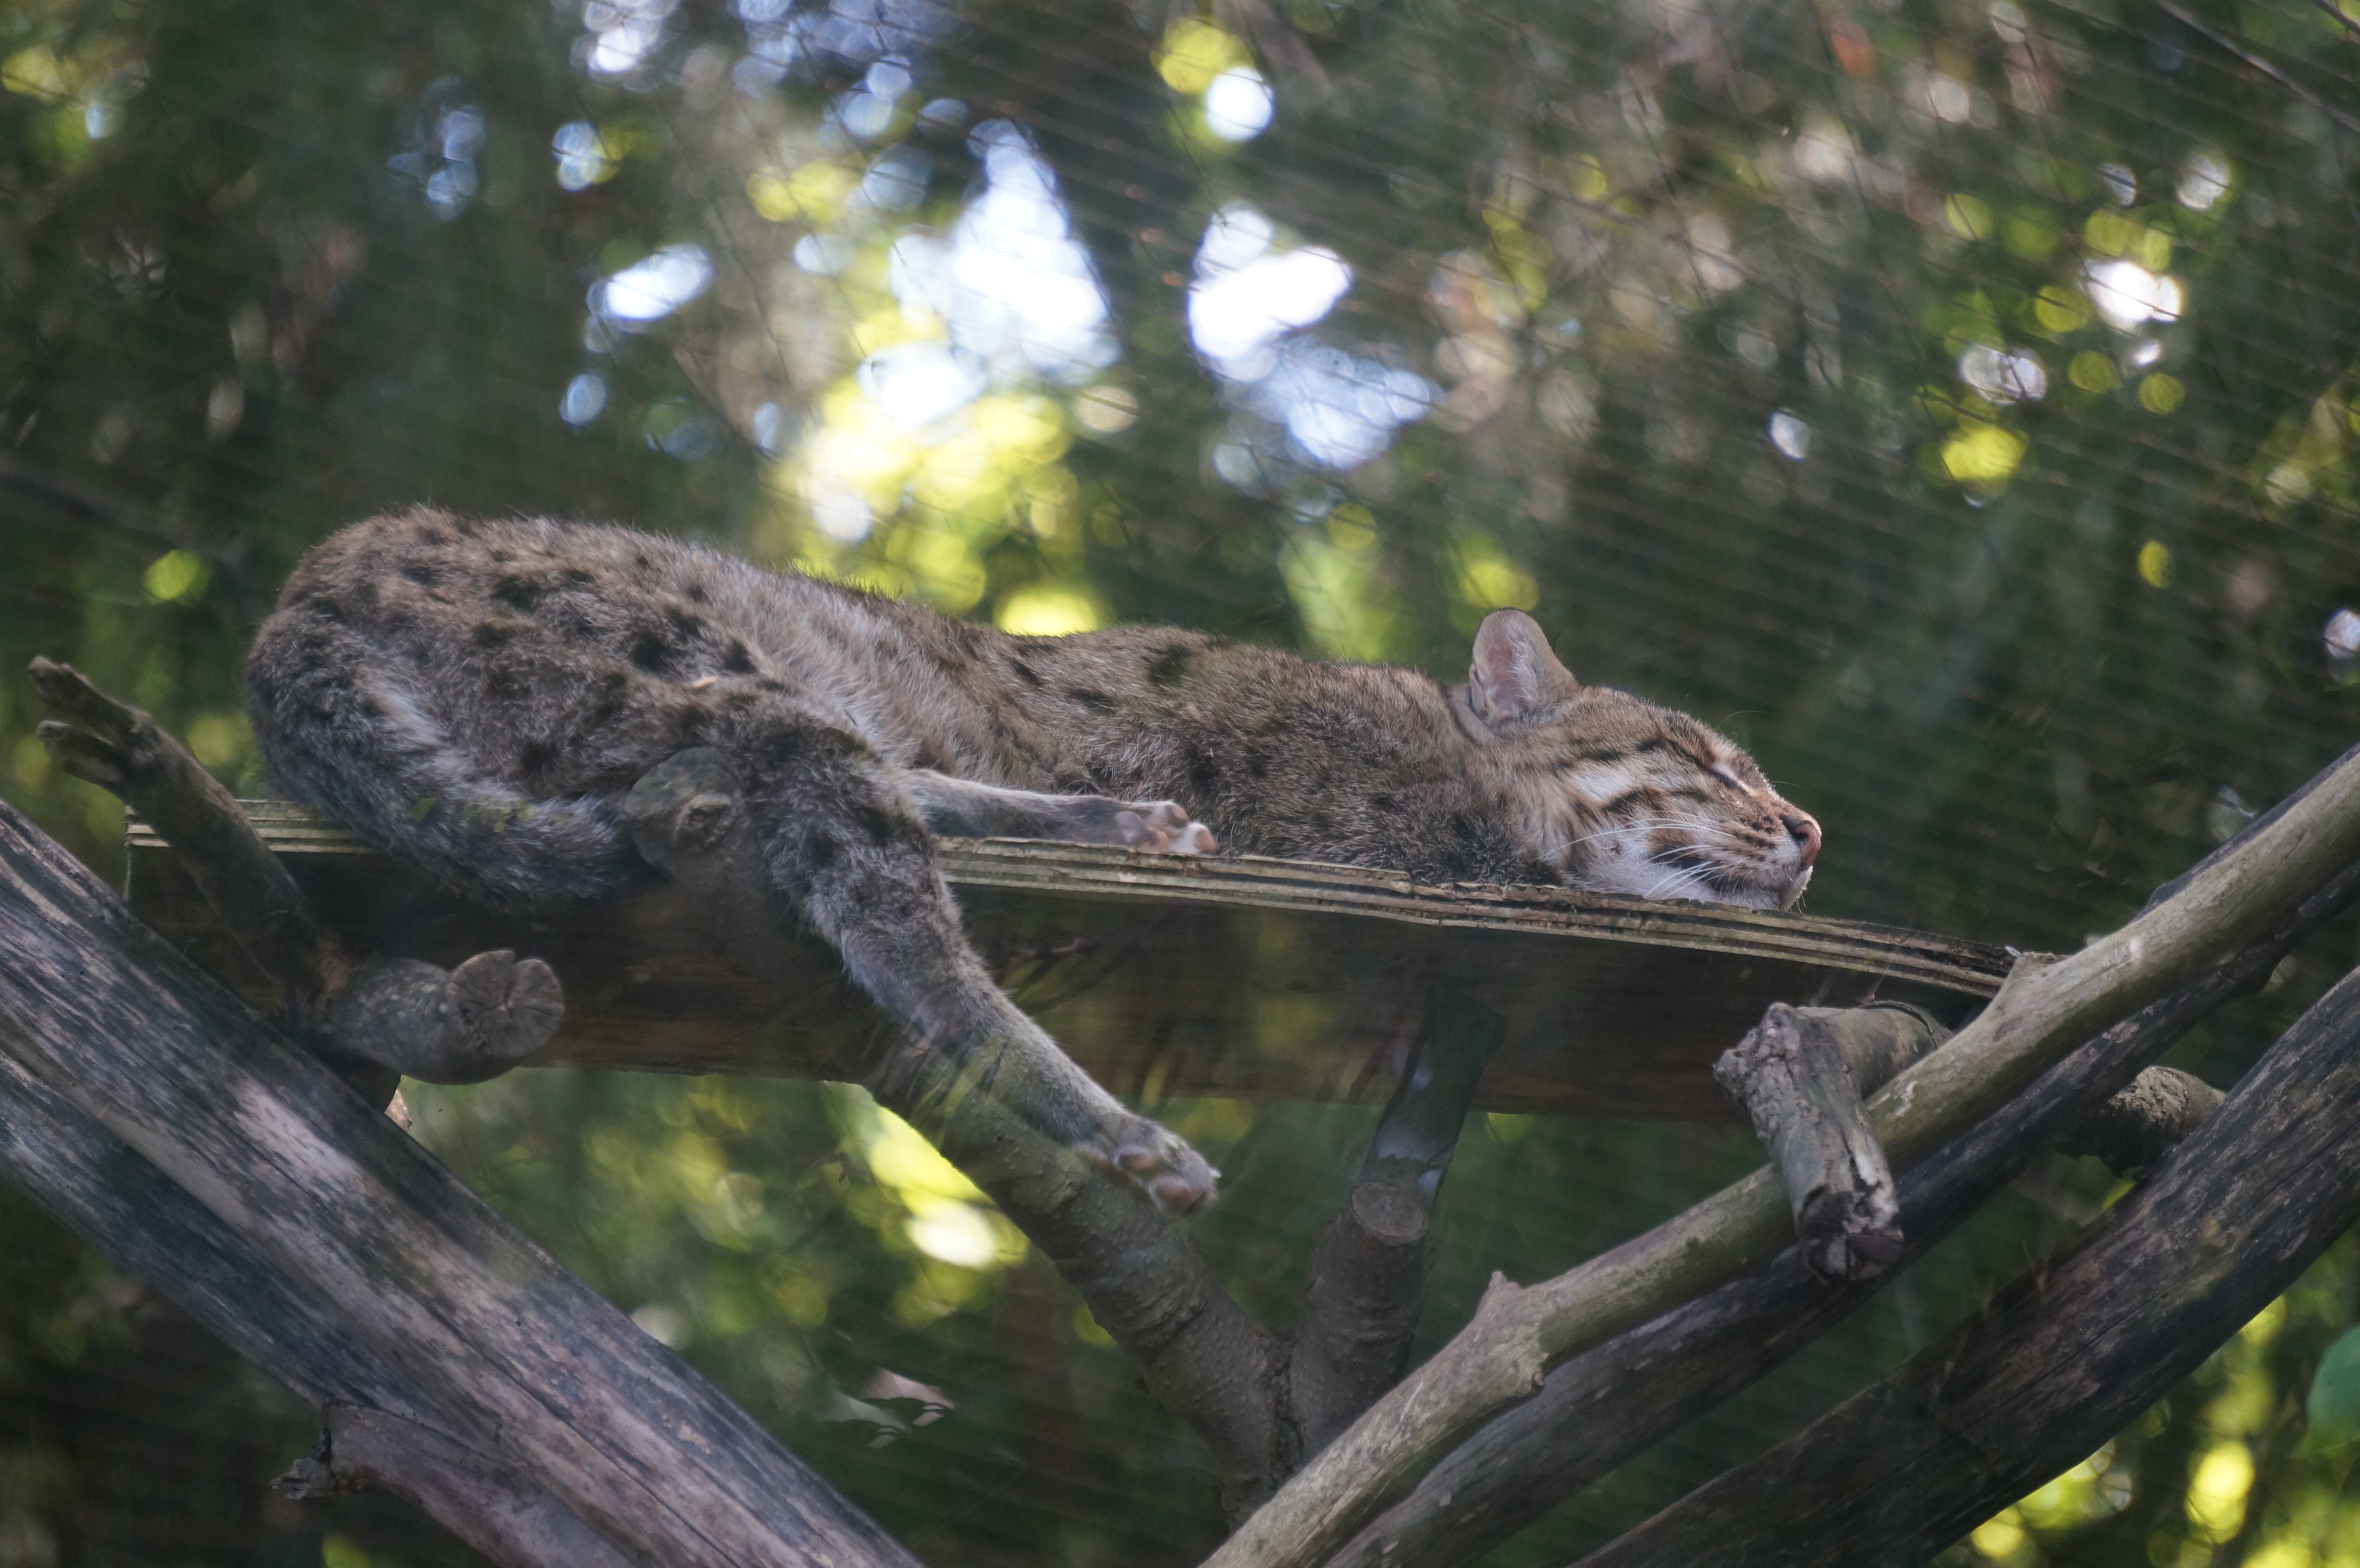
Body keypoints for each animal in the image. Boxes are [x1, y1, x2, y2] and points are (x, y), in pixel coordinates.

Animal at [247, 508, 1820, 1212]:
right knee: (902, 929)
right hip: (706, 684)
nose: (1810, 827)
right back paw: (1110, 1116)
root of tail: (301, 595)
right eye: (1706, 760)